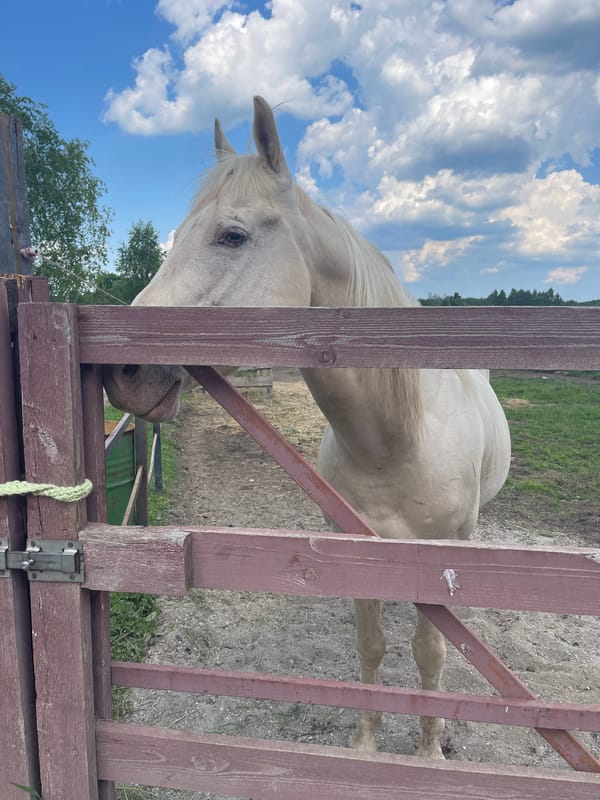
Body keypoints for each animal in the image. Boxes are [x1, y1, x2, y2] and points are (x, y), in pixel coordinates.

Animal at [103, 95, 511, 759]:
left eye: (233, 235)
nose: (123, 368)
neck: (396, 441)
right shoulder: (361, 548)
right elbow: (372, 646)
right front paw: (366, 744)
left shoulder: (439, 553)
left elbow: (430, 653)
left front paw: (428, 752)